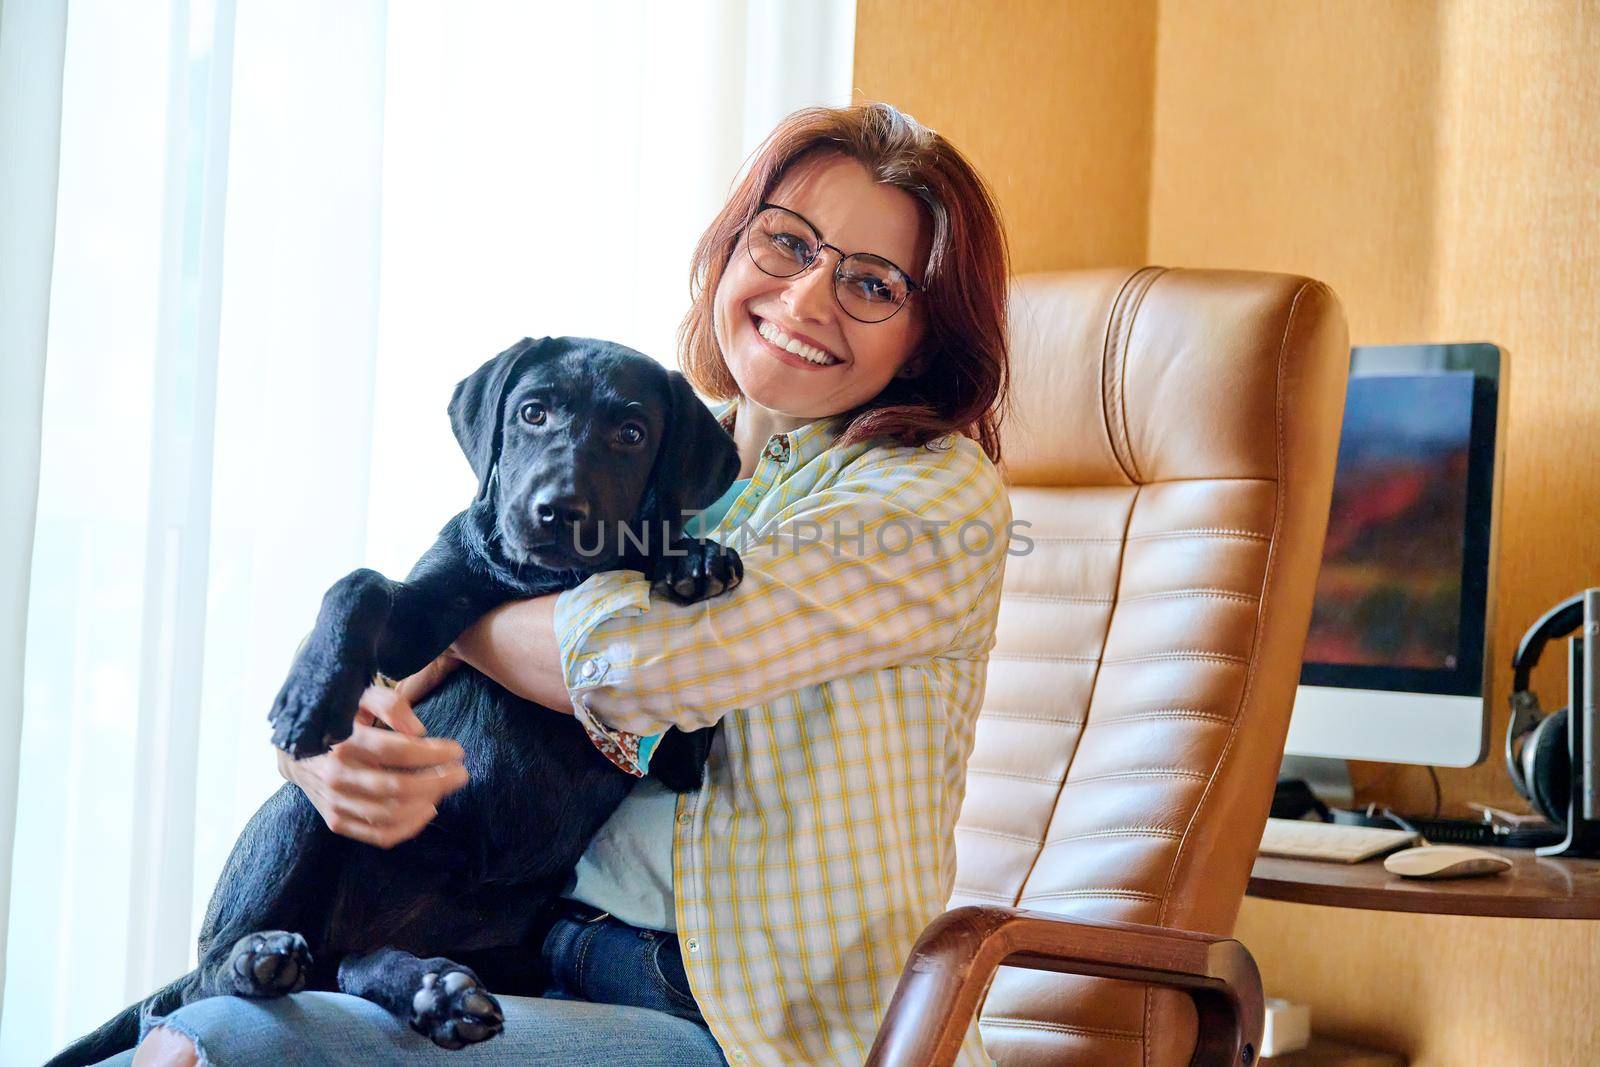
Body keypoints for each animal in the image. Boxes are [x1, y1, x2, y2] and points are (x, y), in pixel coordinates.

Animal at [48, 335, 742, 1067]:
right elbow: (361, 582)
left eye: (632, 433)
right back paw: (263, 957)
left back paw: (434, 992)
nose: (557, 509)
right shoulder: (421, 621)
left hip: (514, 948)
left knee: (347, 967)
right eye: (532, 412)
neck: (547, 578)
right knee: (200, 982)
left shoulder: (676, 759)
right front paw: (312, 694)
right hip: (301, 808)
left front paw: (690, 556)